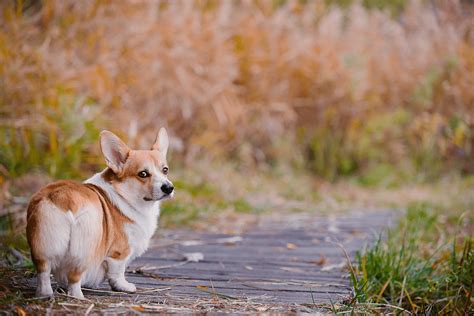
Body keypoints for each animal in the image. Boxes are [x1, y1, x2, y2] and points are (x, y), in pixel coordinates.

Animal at [25, 127, 174, 298]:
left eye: (165, 170)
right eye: (143, 174)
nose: (169, 187)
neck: (123, 194)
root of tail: (62, 198)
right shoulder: (119, 253)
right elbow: (117, 273)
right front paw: (123, 286)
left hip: (42, 246)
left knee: (43, 272)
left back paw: (45, 295)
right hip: (85, 249)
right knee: (74, 278)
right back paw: (79, 297)